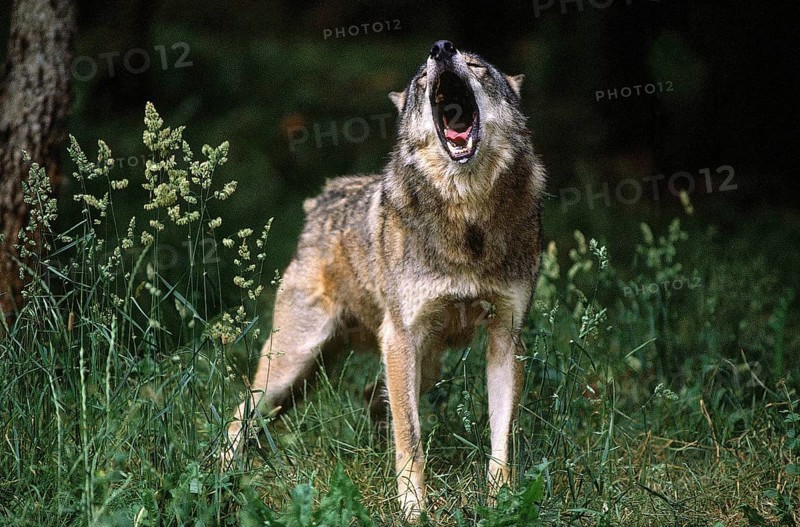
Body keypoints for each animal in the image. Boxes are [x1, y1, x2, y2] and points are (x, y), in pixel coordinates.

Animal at [224, 40, 546, 520]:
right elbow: (410, 438)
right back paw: (219, 476)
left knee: (374, 400)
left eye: (476, 66)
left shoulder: (507, 337)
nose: (441, 47)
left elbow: (500, 439)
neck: (467, 216)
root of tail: (321, 198)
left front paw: (501, 504)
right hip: (293, 364)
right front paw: (414, 510)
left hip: (414, 365)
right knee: (239, 413)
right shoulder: (400, 337)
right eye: (420, 79)